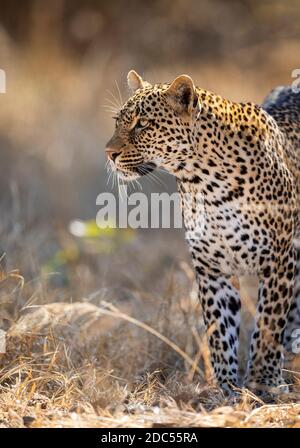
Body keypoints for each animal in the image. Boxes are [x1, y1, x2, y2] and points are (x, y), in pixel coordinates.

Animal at [105, 68, 300, 394]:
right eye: (117, 121)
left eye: (142, 123)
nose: (109, 153)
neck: (204, 182)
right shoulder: (212, 267)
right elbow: (220, 331)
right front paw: (226, 388)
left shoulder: (280, 259)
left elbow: (268, 324)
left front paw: (262, 382)